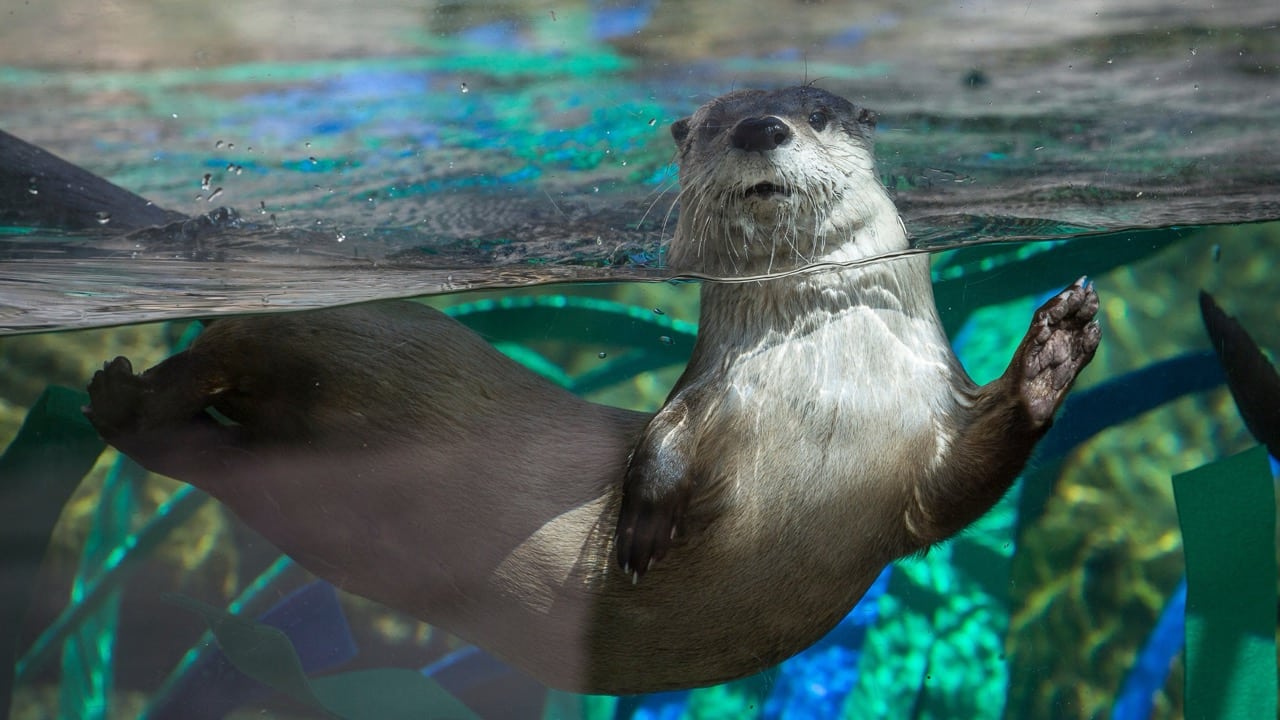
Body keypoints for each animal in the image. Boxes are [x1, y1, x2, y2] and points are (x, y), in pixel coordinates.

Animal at [84, 86, 1100, 695]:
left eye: (817, 110)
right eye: (713, 118)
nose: (759, 127)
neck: (830, 387)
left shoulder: (923, 441)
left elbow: (973, 475)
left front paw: (1057, 344)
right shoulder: (705, 398)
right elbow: (660, 442)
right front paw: (640, 530)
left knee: (202, 439)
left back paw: (117, 400)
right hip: (354, 336)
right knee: (231, 347)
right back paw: (123, 384)